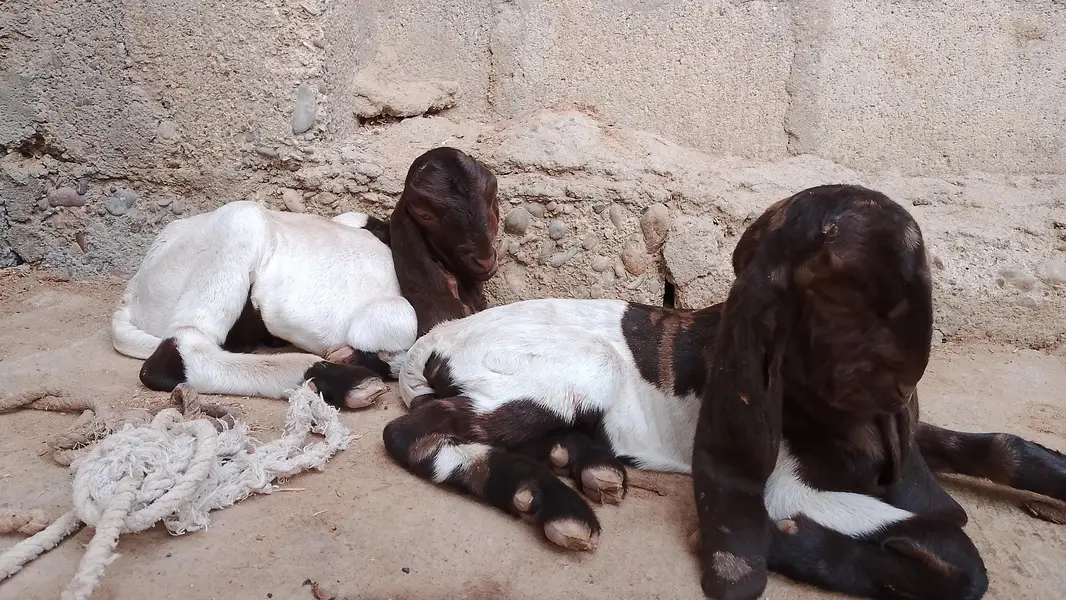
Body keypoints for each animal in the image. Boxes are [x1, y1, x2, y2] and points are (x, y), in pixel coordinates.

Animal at [110, 147, 499, 410]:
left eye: (491, 198)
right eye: (425, 213)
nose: (484, 259)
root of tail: (134, 289)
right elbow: (397, 323)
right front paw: (354, 358)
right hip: (239, 224)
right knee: (178, 353)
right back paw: (344, 381)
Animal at [381, 184, 1066, 600]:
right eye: (842, 295)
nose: (900, 382)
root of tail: (429, 341)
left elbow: (999, 448)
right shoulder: (787, 482)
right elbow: (955, 547)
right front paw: (789, 544)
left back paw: (583, 468)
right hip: (570, 371)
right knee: (411, 432)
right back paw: (549, 499)